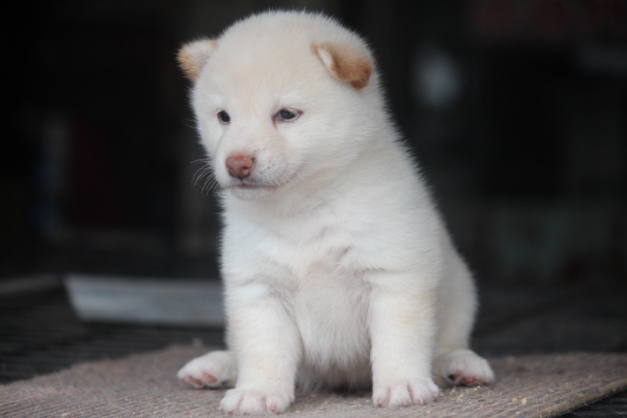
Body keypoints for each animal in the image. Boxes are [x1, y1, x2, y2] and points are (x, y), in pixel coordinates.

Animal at [175, 10, 494, 414]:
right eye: (223, 117)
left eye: (286, 114)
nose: (237, 164)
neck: (304, 209)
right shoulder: (259, 289)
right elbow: (263, 352)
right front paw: (258, 393)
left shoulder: (395, 277)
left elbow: (398, 342)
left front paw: (402, 385)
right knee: (238, 351)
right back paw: (214, 366)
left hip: (462, 292)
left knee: (446, 346)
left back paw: (461, 364)